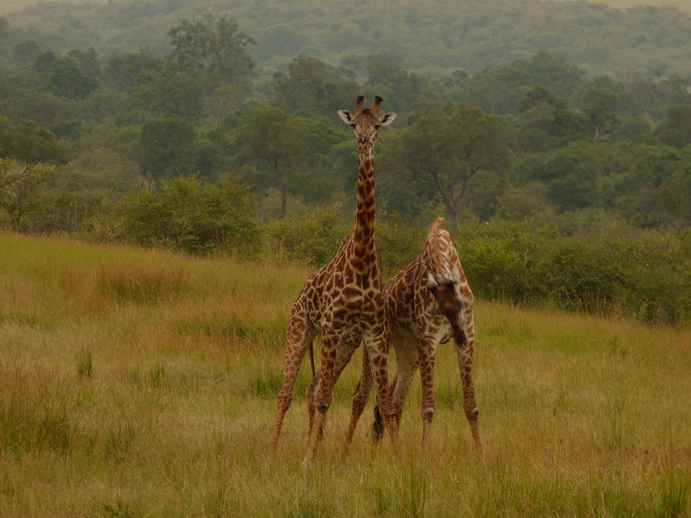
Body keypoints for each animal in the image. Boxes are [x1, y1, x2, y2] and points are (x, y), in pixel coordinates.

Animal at [270, 96, 400, 468]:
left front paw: (403, 461)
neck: (362, 261)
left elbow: (386, 403)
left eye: (378, 125)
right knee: (288, 392)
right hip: (301, 329)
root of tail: (300, 292)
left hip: (345, 344)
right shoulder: (330, 327)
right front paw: (307, 462)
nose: (364, 143)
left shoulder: (373, 333)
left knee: (312, 388)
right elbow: (327, 398)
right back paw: (271, 453)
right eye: (353, 123)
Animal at [344, 217, 482, 452]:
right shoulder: (429, 337)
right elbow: (428, 406)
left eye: (460, 307)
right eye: (442, 310)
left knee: (395, 399)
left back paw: (389, 448)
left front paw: (480, 453)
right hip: (378, 343)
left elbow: (471, 405)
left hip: (408, 350)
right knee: (360, 395)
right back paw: (346, 448)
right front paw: (424, 453)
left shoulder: (469, 332)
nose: (459, 336)